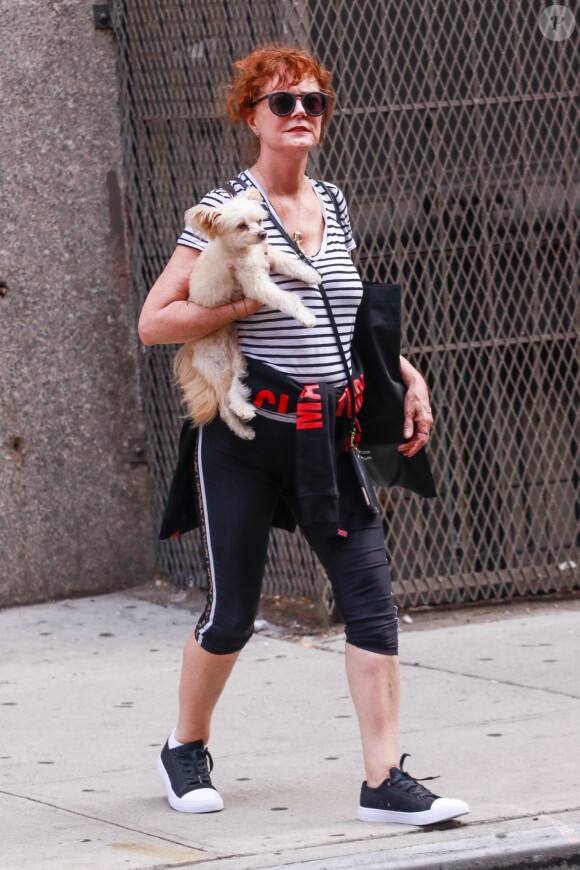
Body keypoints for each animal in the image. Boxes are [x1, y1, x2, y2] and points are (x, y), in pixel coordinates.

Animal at [174, 187, 320, 440]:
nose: (263, 234)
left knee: (234, 389)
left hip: (236, 361)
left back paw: (244, 413)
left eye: (260, 220)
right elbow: (286, 298)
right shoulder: (254, 283)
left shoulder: (266, 254)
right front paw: (306, 316)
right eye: (242, 226)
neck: (241, 250)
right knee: (224, 404)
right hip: (217, 363)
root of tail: (190, 347)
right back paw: (242, 428)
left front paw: (310, 274)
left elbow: (289, 261)